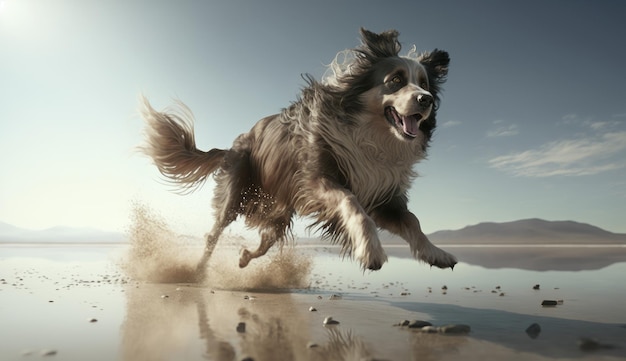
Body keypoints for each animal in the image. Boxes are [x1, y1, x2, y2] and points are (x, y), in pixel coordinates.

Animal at [140, 28, 454, 272]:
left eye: (424, 83)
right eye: (395, 80)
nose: (426, 100)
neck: (372, 135)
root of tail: (232, 144)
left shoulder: (381, 194)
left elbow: (412, 220)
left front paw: (435, 253)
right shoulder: (318, 178)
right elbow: (351, 202)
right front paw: (370, 251)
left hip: (279, 211)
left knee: (266, 240)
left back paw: (244, 258)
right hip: (236, 193)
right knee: (213, 233)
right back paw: (197, 270)